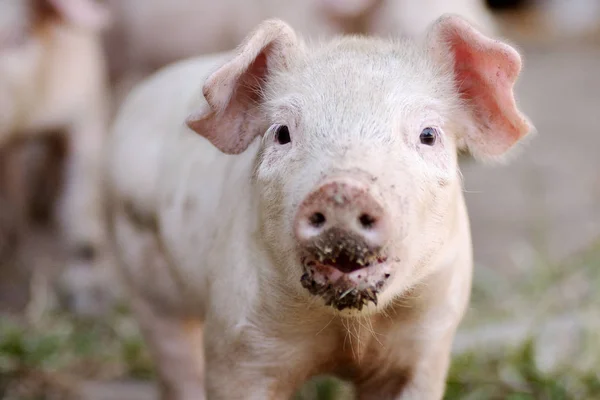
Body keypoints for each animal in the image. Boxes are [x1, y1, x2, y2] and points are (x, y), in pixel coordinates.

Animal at [106, 11, 528, 396]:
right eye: (282, 133)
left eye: (428, 135)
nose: (343, 190)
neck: (348, 333)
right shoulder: (237, 339)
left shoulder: (428, 343)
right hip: (144, 277)